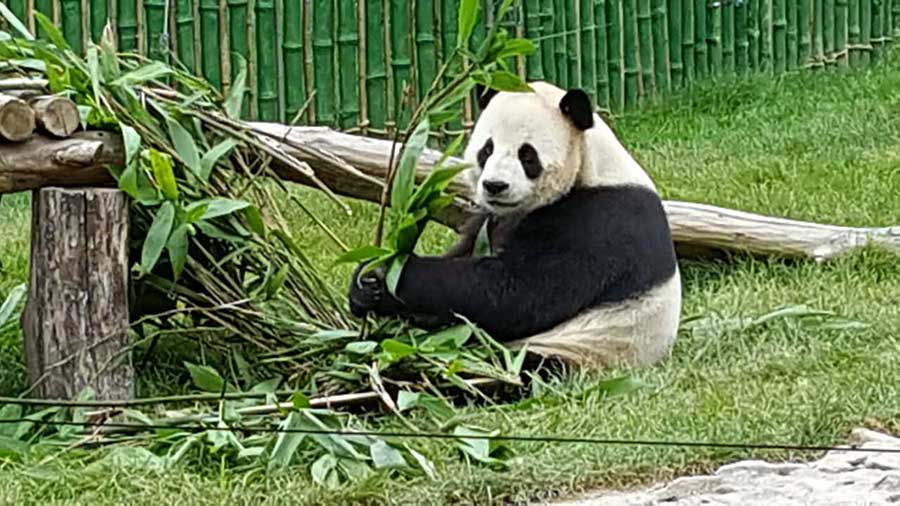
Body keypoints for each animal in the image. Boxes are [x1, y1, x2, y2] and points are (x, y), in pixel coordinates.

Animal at [348, 81, 680, 370]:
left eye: (527, 155)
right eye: (486, 149)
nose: (495, 186)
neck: (589, 166)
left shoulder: (600, 222)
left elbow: (517, 293)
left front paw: (392, 273)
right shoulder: (491, 218)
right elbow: (468, 251)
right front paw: (366, 283)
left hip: (571, 349)